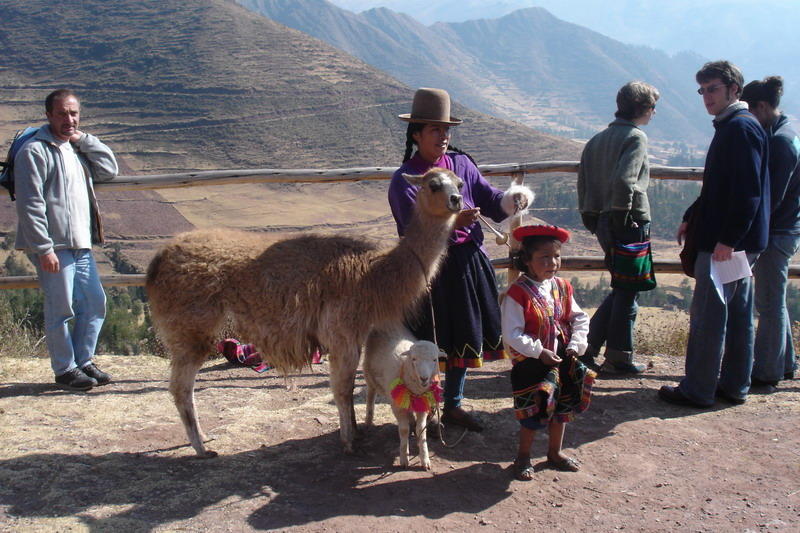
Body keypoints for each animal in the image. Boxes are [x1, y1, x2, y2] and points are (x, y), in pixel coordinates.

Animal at [364, 324, 444, 470]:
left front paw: (424, 458)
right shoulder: (397, 406)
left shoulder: (422, 404)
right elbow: (403, 430)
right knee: (371, 393)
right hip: (369, 373)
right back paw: (368, 419)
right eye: (414, 359)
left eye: (435, 359)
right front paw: (404, 458)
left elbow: (421, 429)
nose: (424, 378)